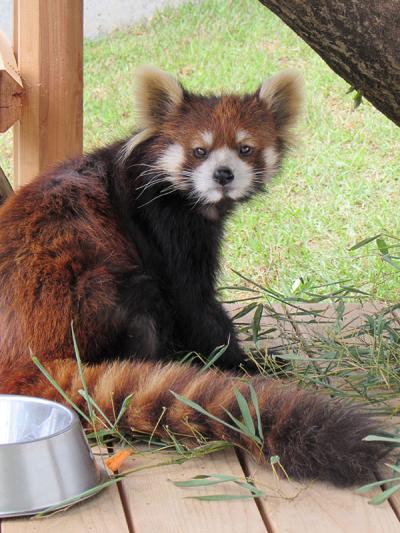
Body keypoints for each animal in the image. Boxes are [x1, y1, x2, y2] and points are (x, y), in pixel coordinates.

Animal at [0, 67, 390, 486]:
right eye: (199, 151)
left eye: (245, 149)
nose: (223, 174)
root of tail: (20, 356)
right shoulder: (164, 222)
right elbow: (193, 302)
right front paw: (243, 360)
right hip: (95, 299)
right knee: (144, 303)